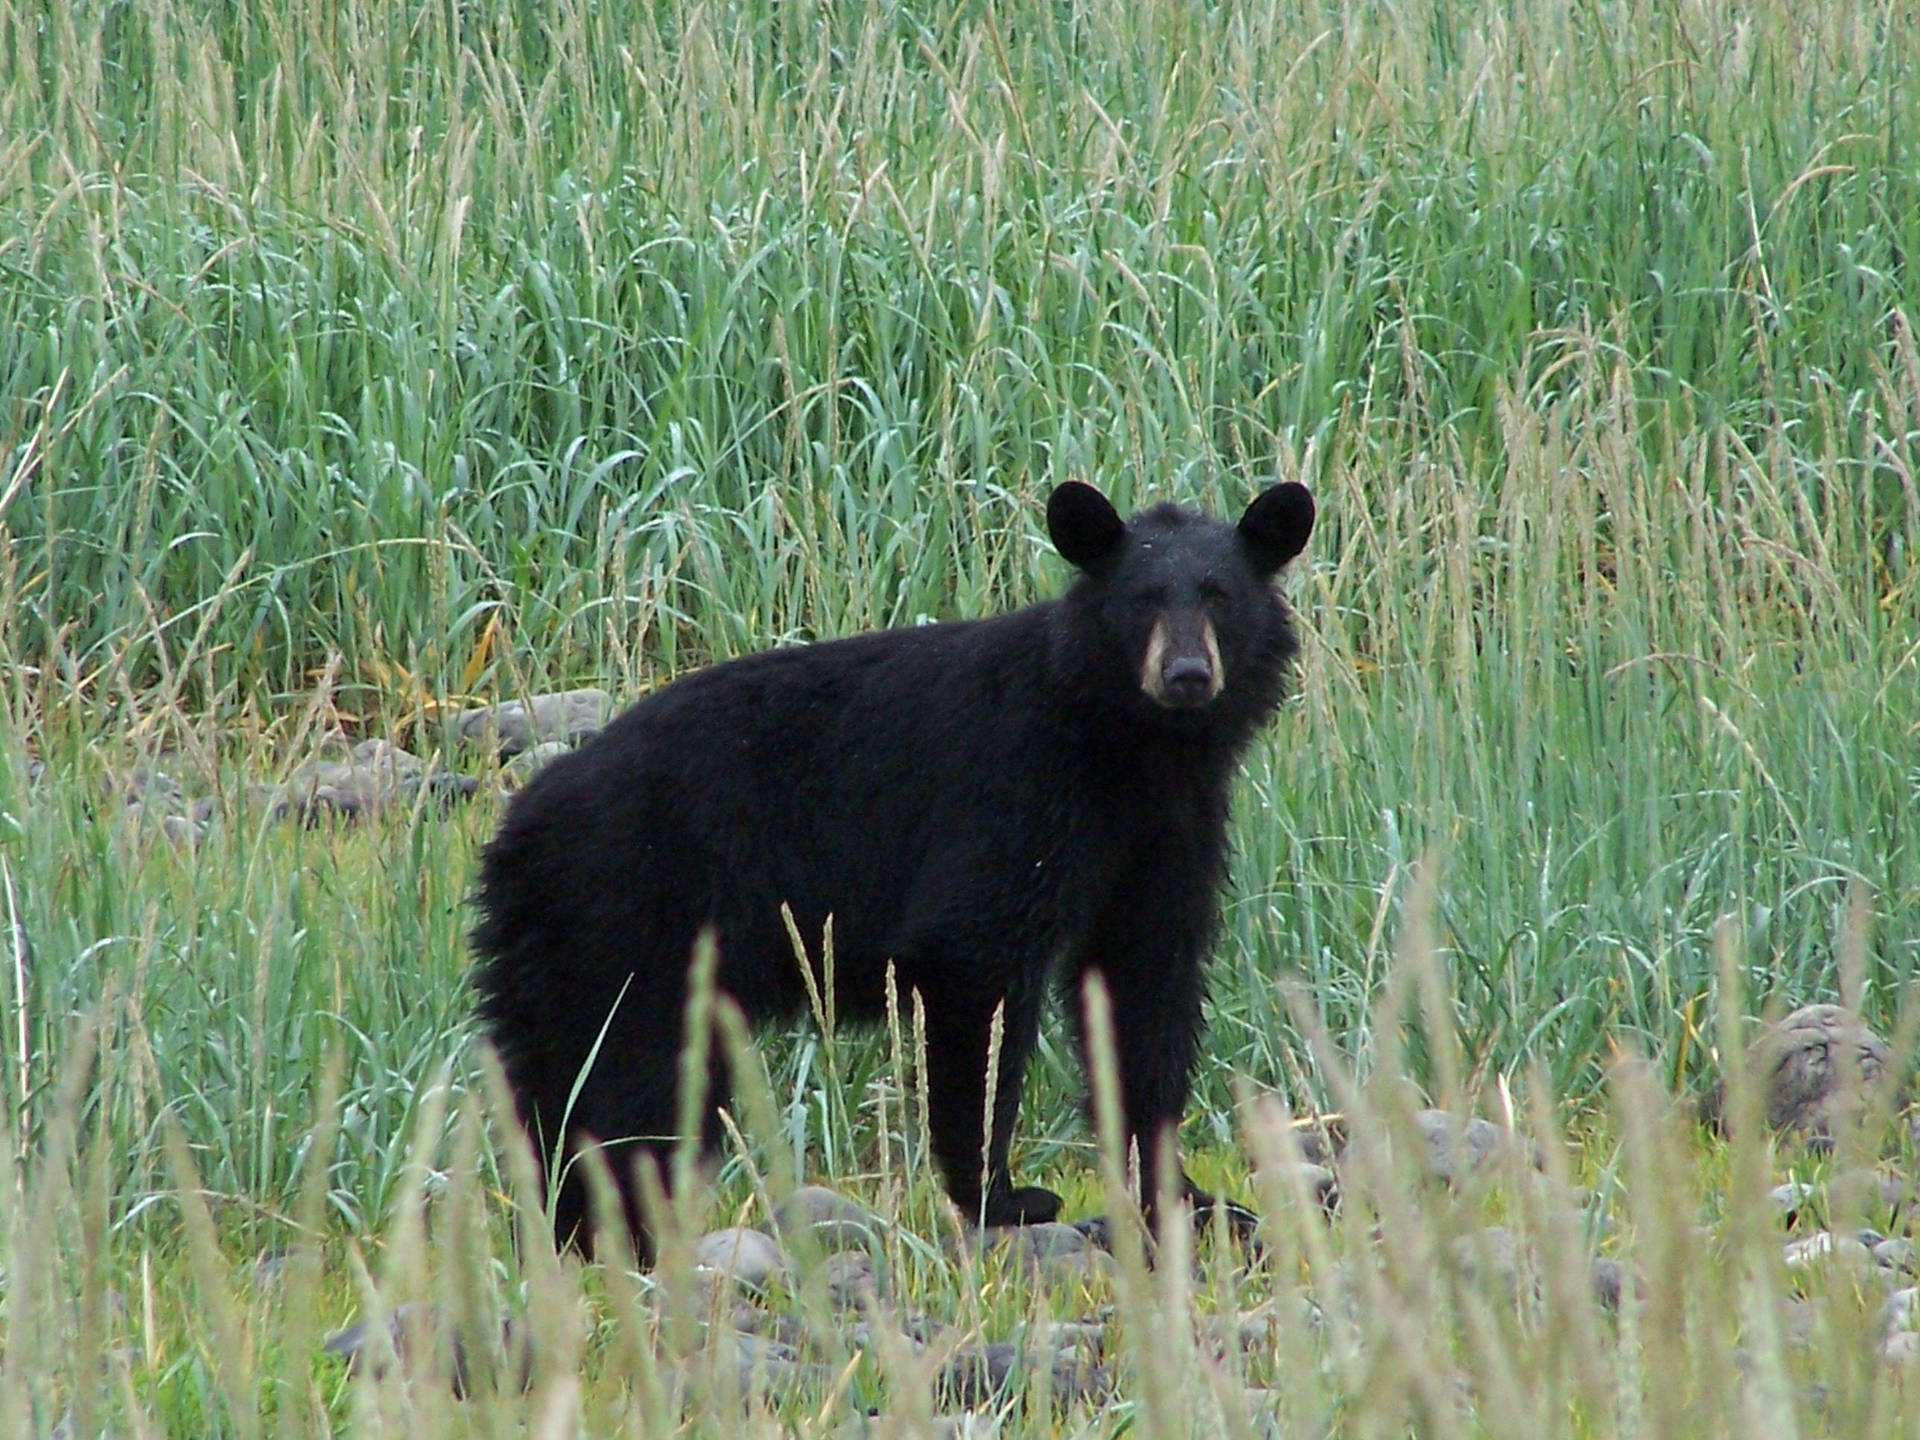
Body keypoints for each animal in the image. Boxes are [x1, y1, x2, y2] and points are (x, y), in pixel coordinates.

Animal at [472, 481, 1313, 1251]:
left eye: (1221, 597)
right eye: (1141, 601)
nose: (1186, 674)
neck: (1131, 748)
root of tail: (520, 828)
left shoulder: (1168, 833)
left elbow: (1146, 985)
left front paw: (1186, 1195)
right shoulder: (1017, 791)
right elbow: (977, 964)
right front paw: (1003, 1196)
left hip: (549, 960)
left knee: (553, 1088)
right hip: (631, 921)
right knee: (635, 1085)